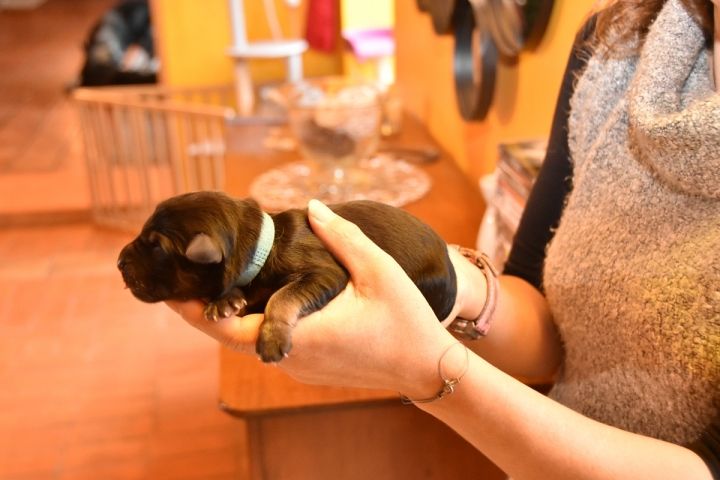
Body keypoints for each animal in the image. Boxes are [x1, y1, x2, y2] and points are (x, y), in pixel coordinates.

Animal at [118, 191, 457, 362]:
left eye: (156, 247)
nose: (119, 261)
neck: (264, 245)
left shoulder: (324, 272)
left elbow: (282, 296)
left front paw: (271, 337)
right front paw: (226, 301)